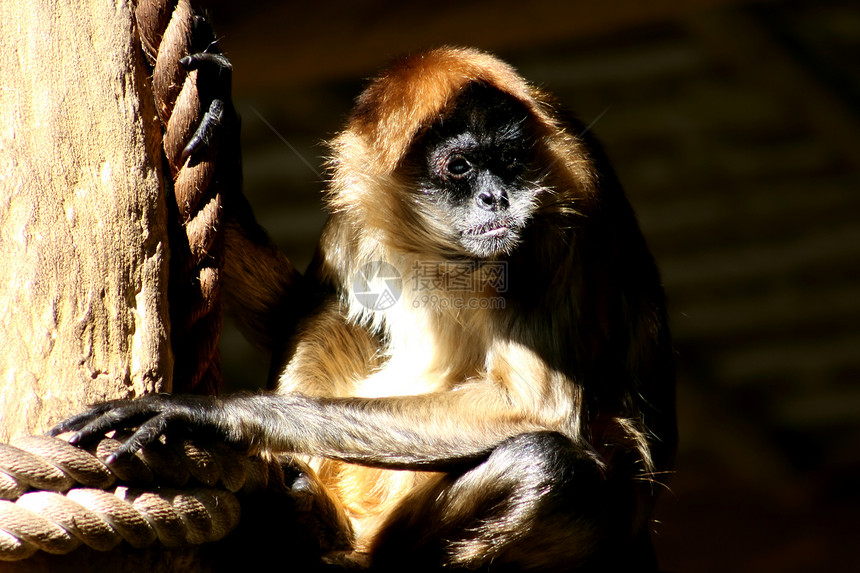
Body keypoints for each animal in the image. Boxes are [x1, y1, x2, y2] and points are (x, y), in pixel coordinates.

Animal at [57, 47, 680, 568]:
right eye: (460, 167)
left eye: (508, 159)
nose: (496, 198)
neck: (443, 254)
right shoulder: (359, 208)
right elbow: (293, 310)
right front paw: (219, 126)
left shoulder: (563, 212)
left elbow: (537, 409)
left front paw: (206, 414)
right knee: (330, 309)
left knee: (547, 465)